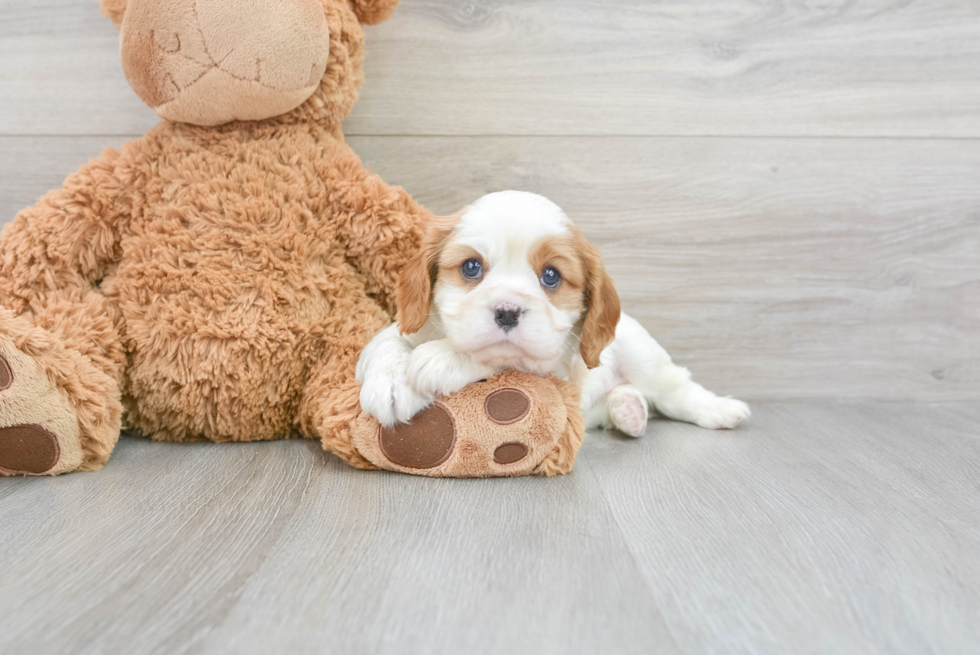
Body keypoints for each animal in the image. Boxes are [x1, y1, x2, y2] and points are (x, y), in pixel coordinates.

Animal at [360, 191, 752, 436]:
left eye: (551, 276)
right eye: (471, 267)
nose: (507, 312)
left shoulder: (552, 367)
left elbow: (501, 357)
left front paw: (440, 360)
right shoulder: (407, 327)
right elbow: (384, 343)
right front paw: (390, 382)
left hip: (644, 357)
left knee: (675, 391)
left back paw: (719, 409)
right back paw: (628, 410)